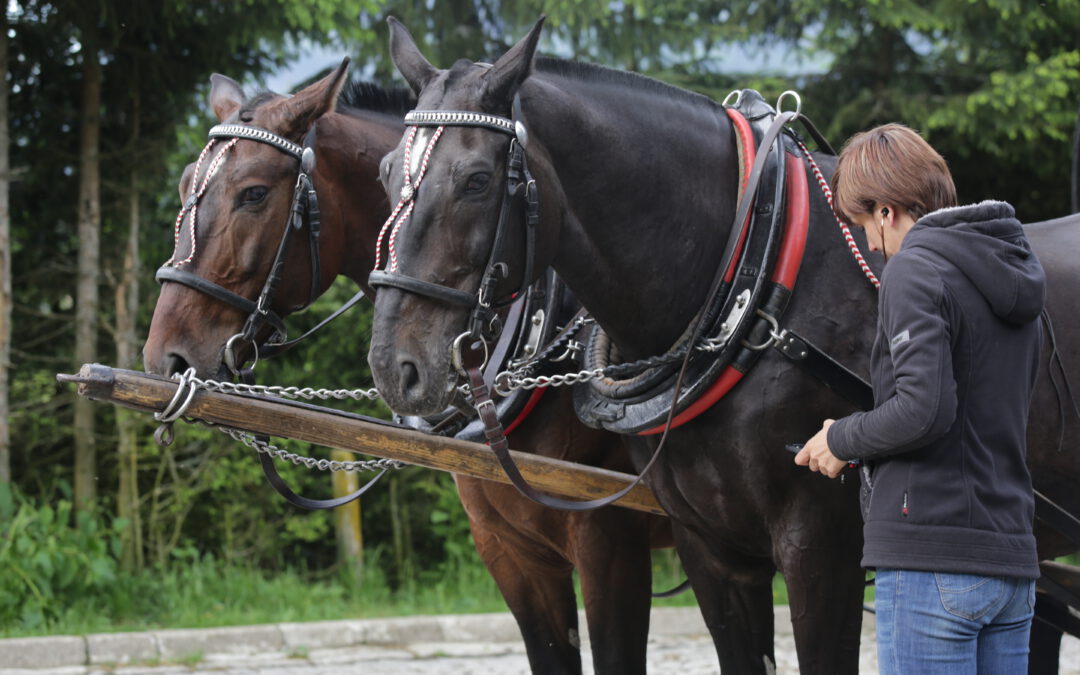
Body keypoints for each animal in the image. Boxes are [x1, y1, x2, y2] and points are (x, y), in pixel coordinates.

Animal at [365, 17, 1080, 673]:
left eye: (477, 180)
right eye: (383, 174)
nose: (394, 367)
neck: (749, 283)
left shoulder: (818, 548)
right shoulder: (709, 551)